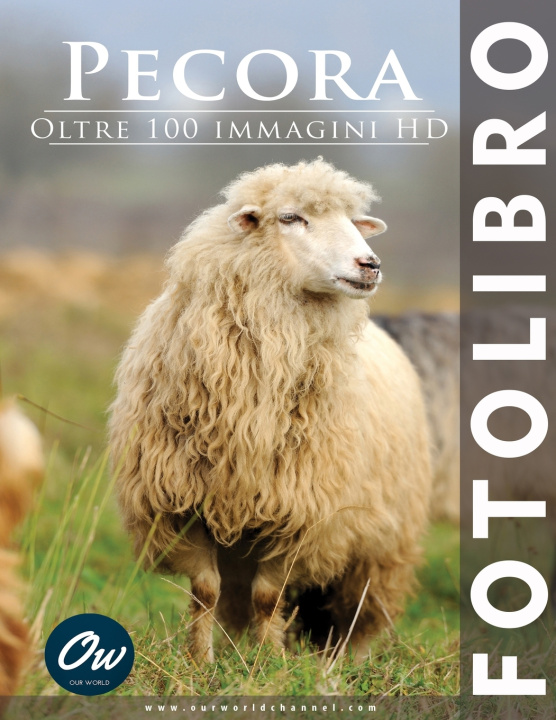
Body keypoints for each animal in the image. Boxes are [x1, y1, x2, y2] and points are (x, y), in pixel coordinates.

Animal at [109, 158, 432, 662]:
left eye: (352, 220)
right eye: (290, 218)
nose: (370, 264)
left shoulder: (303, 513)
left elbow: (268, 596)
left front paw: (268, 664)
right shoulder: (181, 505)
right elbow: (206, 590)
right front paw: (201, 662)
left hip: (383, 541)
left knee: (363, 609)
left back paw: (347, 662)